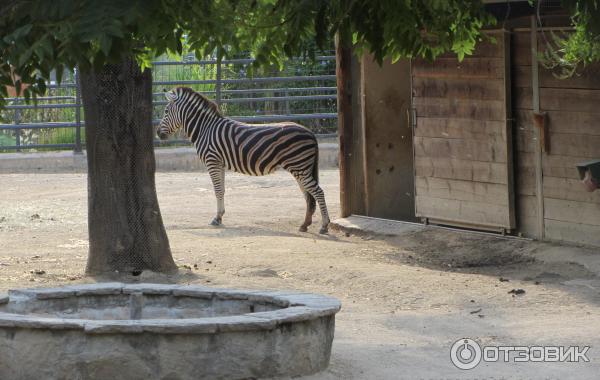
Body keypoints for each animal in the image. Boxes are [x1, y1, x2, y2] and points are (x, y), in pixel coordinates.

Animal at [157, 87, 330, 233]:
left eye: (165, 111)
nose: (158, 134)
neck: (205, 129)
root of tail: (310, 132)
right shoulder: (219, 163)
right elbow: (221, 190)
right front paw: (220, 216)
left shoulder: (212, 161)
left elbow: (217, 190)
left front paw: (217, 219)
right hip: (300, 168)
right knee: (308, 194)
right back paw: (304, 225)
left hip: (299, 167)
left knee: (318, 192)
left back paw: (324, 226)